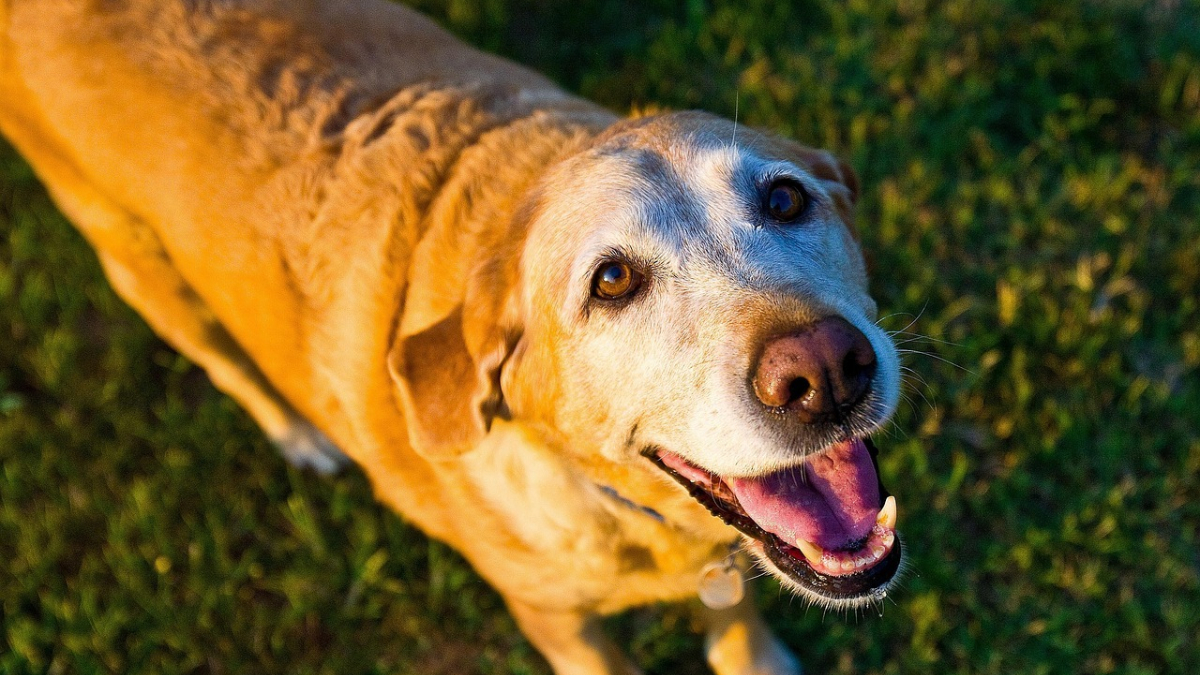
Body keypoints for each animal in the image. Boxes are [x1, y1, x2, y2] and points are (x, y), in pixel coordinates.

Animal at [0, 0, 902, 667]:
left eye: (785, 198)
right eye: (611, 281)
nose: (825, 371)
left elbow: (739, 621)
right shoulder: (556, 623)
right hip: (135, 259)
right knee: (223, 359)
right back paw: (297, 434)